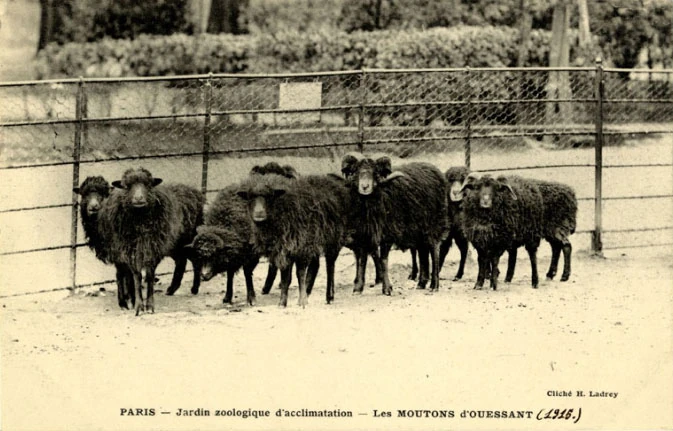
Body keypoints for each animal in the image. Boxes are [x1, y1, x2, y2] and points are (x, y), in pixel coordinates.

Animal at [99, 167, 205, 316]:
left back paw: (194, 288)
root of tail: (193, 191)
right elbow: (137, 277)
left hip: (186, 239)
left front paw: (149, 306)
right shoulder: (131, 251)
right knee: (182, 260)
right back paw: (172, 289)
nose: (139, 198)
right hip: (175, 244)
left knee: (195, 259)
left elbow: (149, 276)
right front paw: (138, 306)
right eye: (127, 186)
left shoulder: (152, 250)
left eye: (148, 184)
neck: (140, 220)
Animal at [236, 172, 350, 308]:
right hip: (313, 241)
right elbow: (286, 278)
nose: (259, 213)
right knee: (315, 266)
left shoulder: (299, 246)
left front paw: (301, 301)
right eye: (249, 197)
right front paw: (282, 302)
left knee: (330, 267)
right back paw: (308, 291)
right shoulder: (283, 249)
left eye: (270, 196)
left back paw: (329, 296)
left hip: (332, 240)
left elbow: (299, 274)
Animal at [342, 154, 446, 296]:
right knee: (422, 252)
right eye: (356, 171)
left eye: (375, 173)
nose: (365, 187)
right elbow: (362, 260)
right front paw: (358, 288)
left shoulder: (388, 234)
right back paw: (421, 283)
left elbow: (383, 260)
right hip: (418, 231)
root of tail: (435, 170)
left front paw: (387, 288)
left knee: (434, 250)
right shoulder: (364, 235)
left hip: (432, 225)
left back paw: (434, 285)